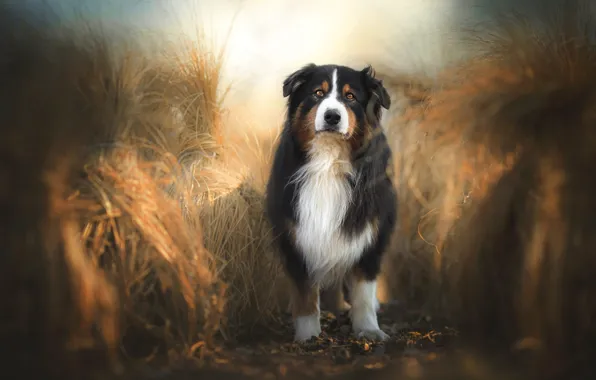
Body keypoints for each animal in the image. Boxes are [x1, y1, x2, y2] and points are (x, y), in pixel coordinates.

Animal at [264, 62, 396, 342]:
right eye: (317, 93)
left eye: (350, 97)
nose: (332, 116)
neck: (329, 160)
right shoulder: (296, 237)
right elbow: (304, 293)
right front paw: (307, 337)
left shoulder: (369, 234)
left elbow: (363, 292)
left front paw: (369, 330)